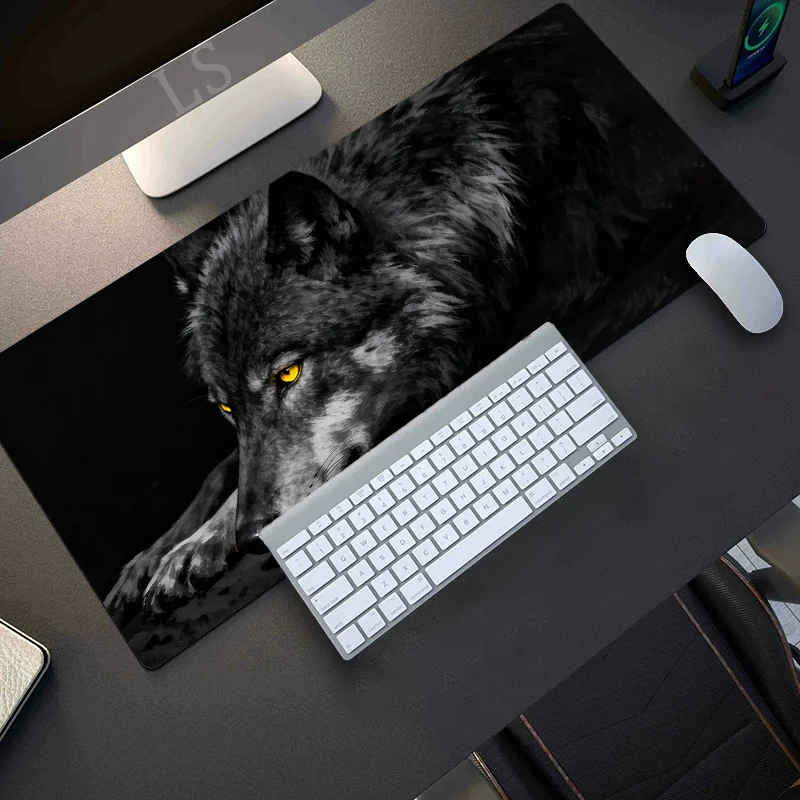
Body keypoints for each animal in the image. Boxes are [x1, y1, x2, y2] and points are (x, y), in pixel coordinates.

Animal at [104, 7, 749, 618]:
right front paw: (157, 555)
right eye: (225, 407)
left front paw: (191, 549)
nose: (254, 537)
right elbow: (222, 468)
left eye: (288, 373)